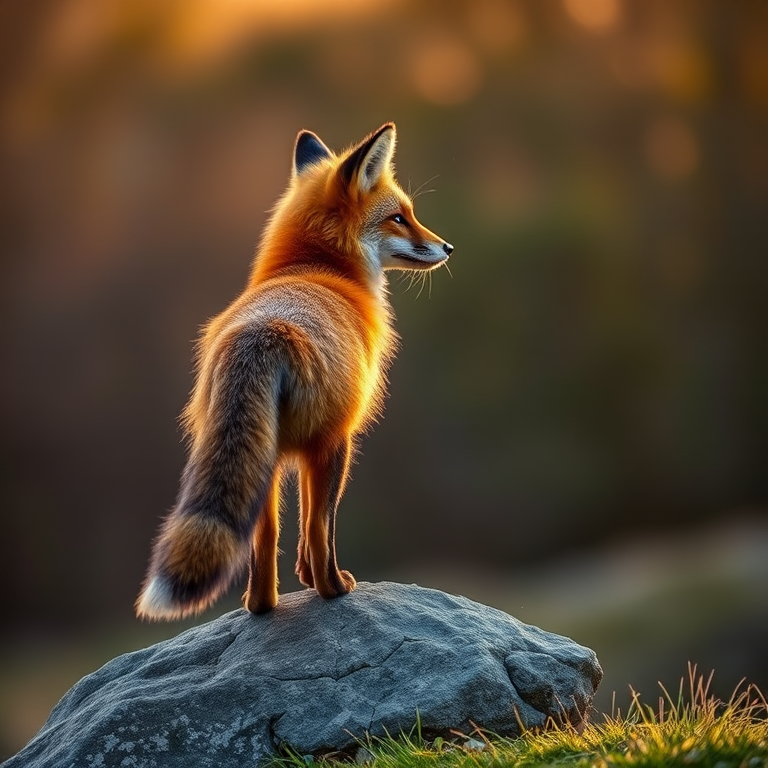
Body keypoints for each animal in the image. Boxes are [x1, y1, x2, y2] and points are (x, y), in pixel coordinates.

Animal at [135, 122, 453, 620]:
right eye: (399, 218)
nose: (448, 247)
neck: (315, 270)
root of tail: (263, 333)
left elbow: (297, 532)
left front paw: (299, 577)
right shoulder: (334, 440)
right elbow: (319, 525)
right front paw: (322, 582)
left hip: (261, 463)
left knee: (262, 543)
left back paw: (261, 605)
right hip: (327, 445)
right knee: (320, 528)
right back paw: (332, 590)